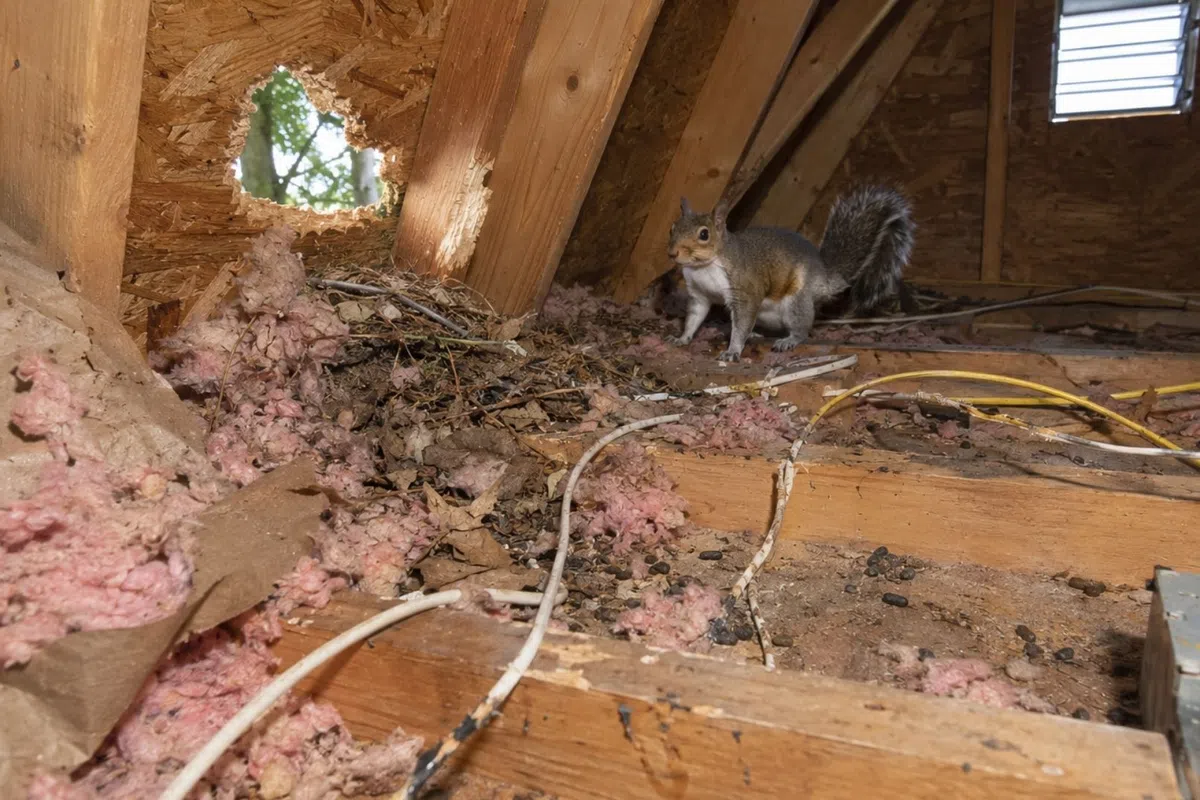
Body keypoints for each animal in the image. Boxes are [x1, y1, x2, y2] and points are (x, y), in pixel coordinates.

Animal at [666, 184, 915, 362]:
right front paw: (681, 338)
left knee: (802, 328)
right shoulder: (699, 294)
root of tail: (825, 277)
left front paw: (733, 350)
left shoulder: (745, 290)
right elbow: (694, 317)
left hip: (797, 301)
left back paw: (789, 340)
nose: (672, 253)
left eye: (704, 234)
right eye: (672, 227)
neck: (704, 267)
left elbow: (742, 321)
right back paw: (756, 334)